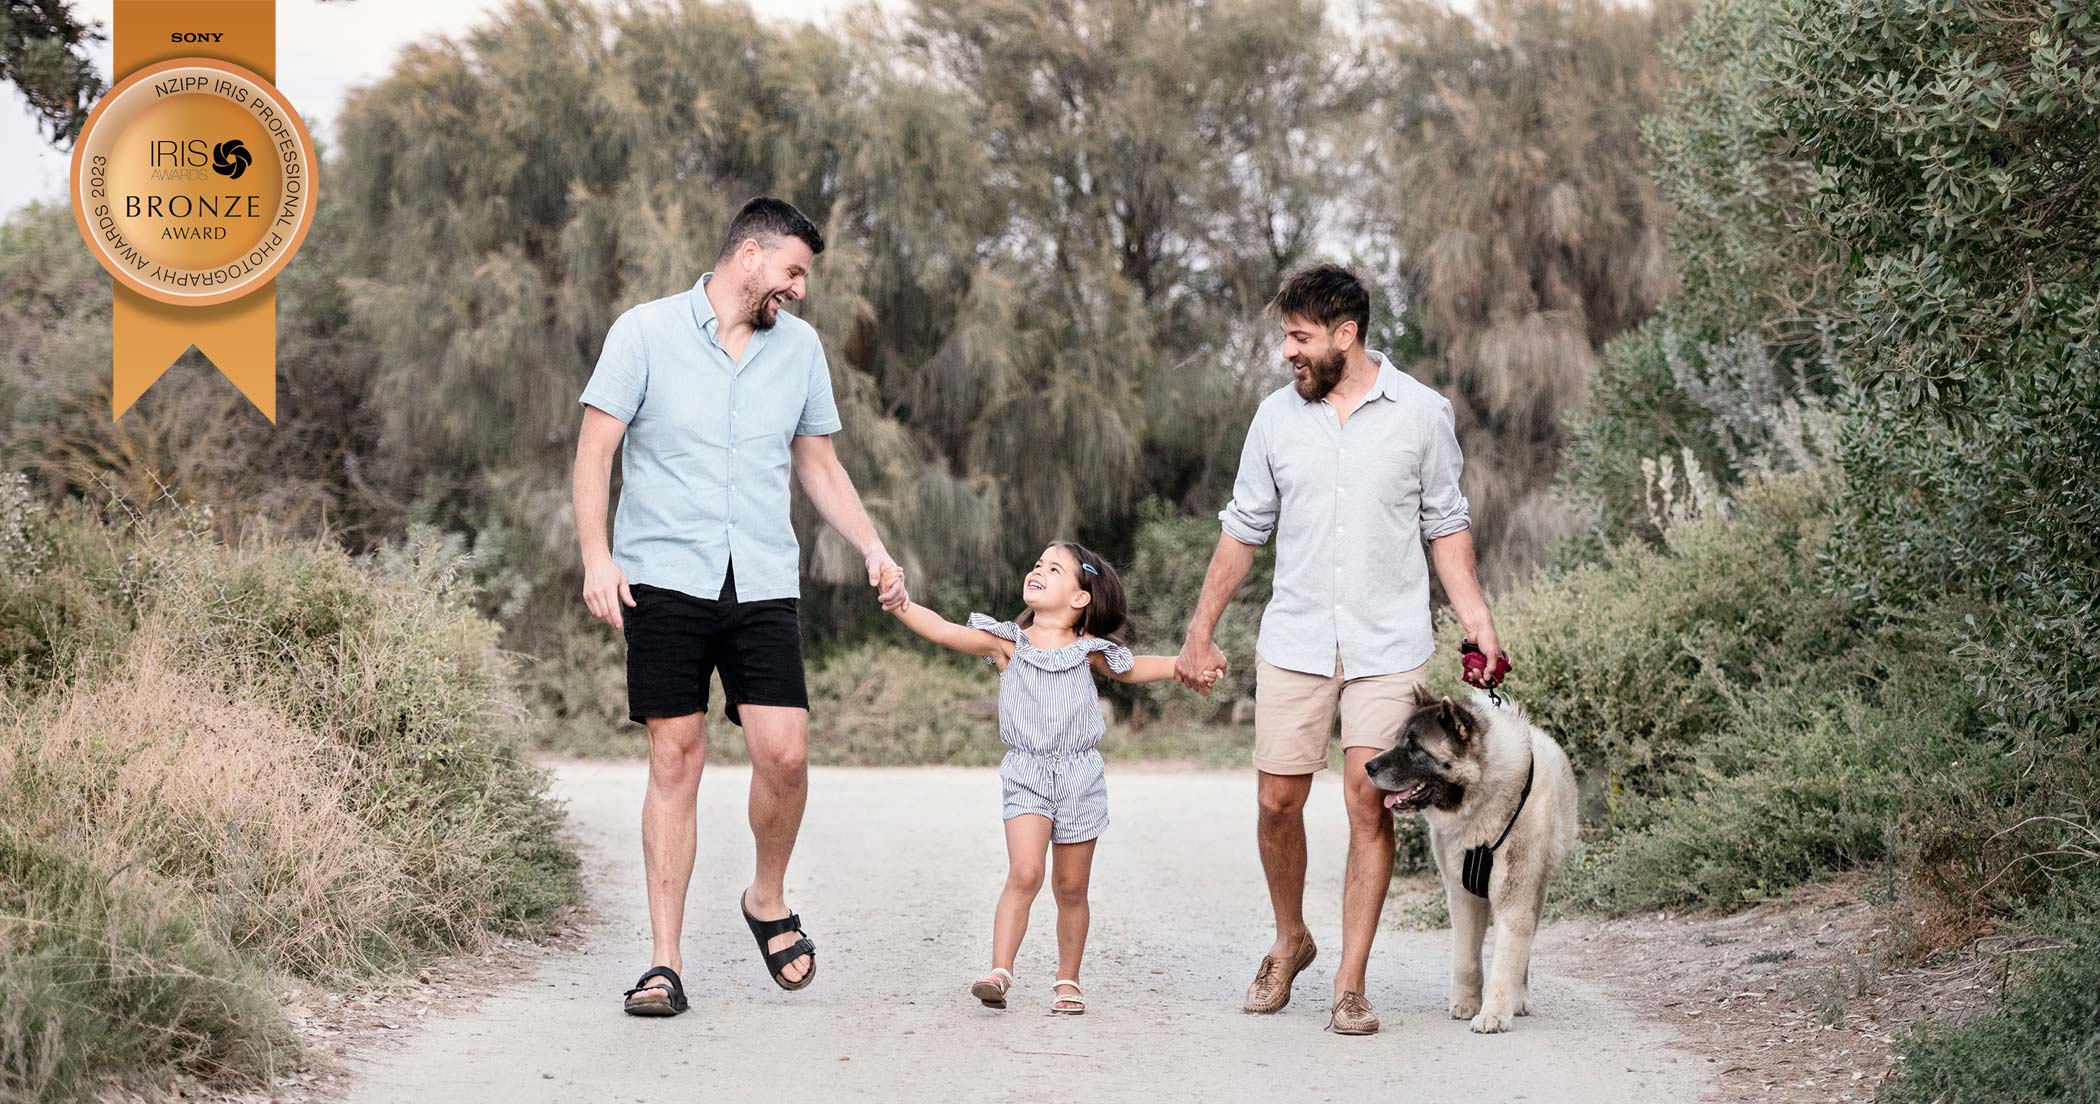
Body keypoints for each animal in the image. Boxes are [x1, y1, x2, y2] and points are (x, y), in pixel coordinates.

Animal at [1365, 685, 1577, 1033]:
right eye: (1398, 741)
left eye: (1414, 747)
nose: (1368, 766)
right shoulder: (1462, 897)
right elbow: (1466, 959)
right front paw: (1466, 1003)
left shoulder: (1514, 901)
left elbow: (1507, 961)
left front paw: (1494, 1013)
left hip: (1537, 896)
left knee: (1524, 954)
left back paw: (1519, 999)